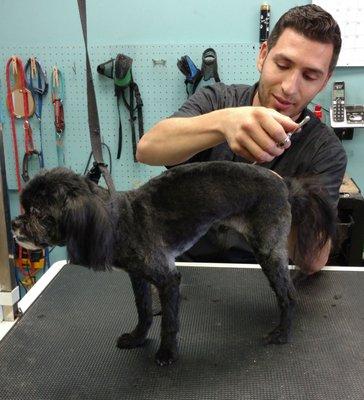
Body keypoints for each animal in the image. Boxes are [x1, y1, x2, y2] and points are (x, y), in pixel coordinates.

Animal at [11, 162, 336, 366]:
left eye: (39, 214)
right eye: (24, 207)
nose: (14, 224)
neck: (118, 220)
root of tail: (284, 185)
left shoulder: (168, 279)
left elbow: (169, 322)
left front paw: (167, 353)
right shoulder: (138, 276)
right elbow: (144, 310)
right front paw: (138, 338)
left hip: (268, 249)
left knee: (288, 295)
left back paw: (282, 333)